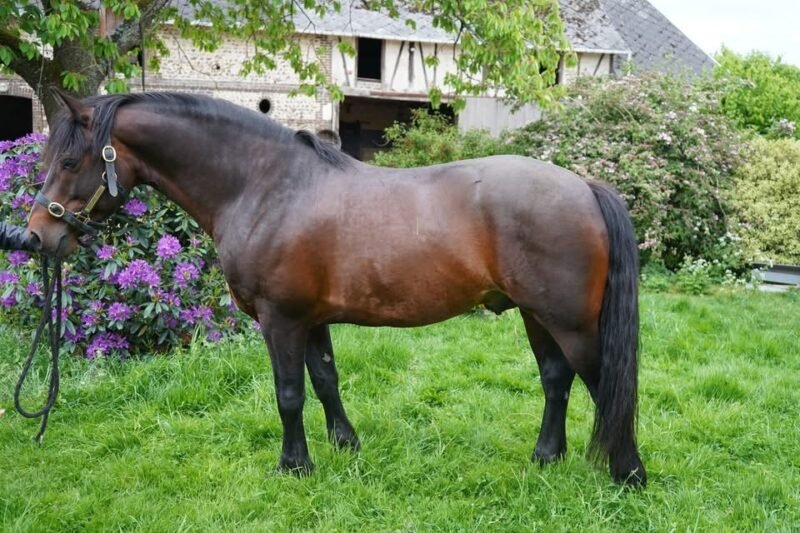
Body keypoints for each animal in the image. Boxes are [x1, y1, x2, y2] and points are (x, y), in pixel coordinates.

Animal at [26, 91, 646, 487]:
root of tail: (584, 187)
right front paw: (345, 446)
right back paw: (547, 458)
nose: (36, 235)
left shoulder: (280, 319)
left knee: (603, 385)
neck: (265, 186)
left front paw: (294, 466)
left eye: (71, 159)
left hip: (569, 322)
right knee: (557, 379)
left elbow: (288, 393)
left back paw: (629, 474)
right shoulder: (312, 319)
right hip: (536, 315)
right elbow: (325, 380)